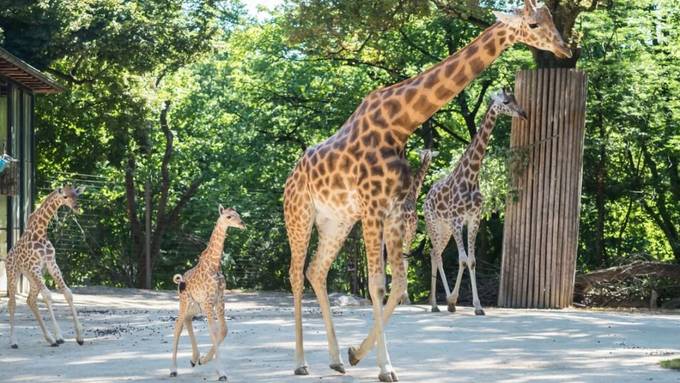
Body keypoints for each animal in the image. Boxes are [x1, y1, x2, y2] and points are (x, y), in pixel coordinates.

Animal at [5, 184, 86, 350]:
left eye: (76, 195)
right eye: (65, 197)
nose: (76, 207)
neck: (41, 233)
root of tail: (7, 257)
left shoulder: (51, 263)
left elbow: (67, 293)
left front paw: (79, 337)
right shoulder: (34, 265)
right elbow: (48, 296)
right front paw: (59, 336)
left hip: (32, 277)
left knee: (30, 300)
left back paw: (49, 339)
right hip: (13, 274)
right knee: (13, 303)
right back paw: (14, 341)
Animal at [170, 204, 247, 380]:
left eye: (238, 215)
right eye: (229, 217)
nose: (242, 224)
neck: (214, 265)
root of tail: (180, 281)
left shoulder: (219, 299)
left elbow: (223, 330)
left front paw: (204, 359)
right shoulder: (208, 301)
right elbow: (214, 330)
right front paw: (221, 372)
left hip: (195, 305)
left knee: (187, 320)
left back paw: (194, 358)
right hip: (185, 302)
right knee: (178, 325)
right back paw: (173, 369)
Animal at [424, 90, 524, 316]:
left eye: (516, 99)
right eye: (506, 102)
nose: (523, 113)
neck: (470, 178)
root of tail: (426, 196)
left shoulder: (473, 219)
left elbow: (471, 261)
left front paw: (475, 306)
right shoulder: (457, 220)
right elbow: (462, 259)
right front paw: (455, 300)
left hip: (444, 229)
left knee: (435, 253)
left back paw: (438, 304)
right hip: (435, 224)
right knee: (437, 255)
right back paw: (436, 304)